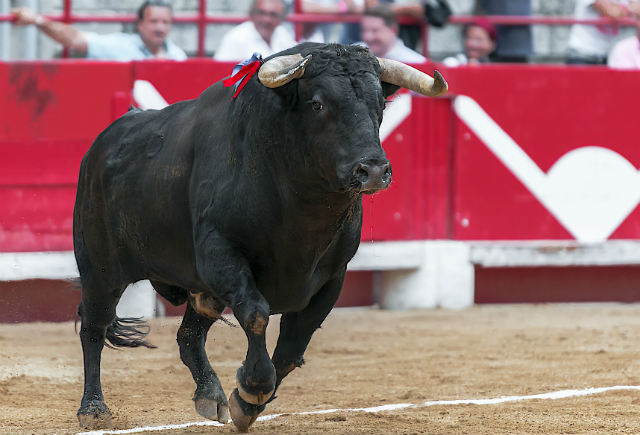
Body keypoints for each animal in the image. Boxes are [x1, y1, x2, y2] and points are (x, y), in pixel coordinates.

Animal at [74, 43, 444, 432]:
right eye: (317, 104)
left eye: (380, 105)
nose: (372, 170)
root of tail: (103, 143)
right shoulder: (222, 255)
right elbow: (256, 315)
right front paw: (252, 390)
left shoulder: (332, 277)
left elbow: (294, 346)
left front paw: (246, 403)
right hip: (99, 268)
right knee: (94, 327)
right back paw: (93, 408)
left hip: (199, 288)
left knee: (188, 336)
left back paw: (211, 395)